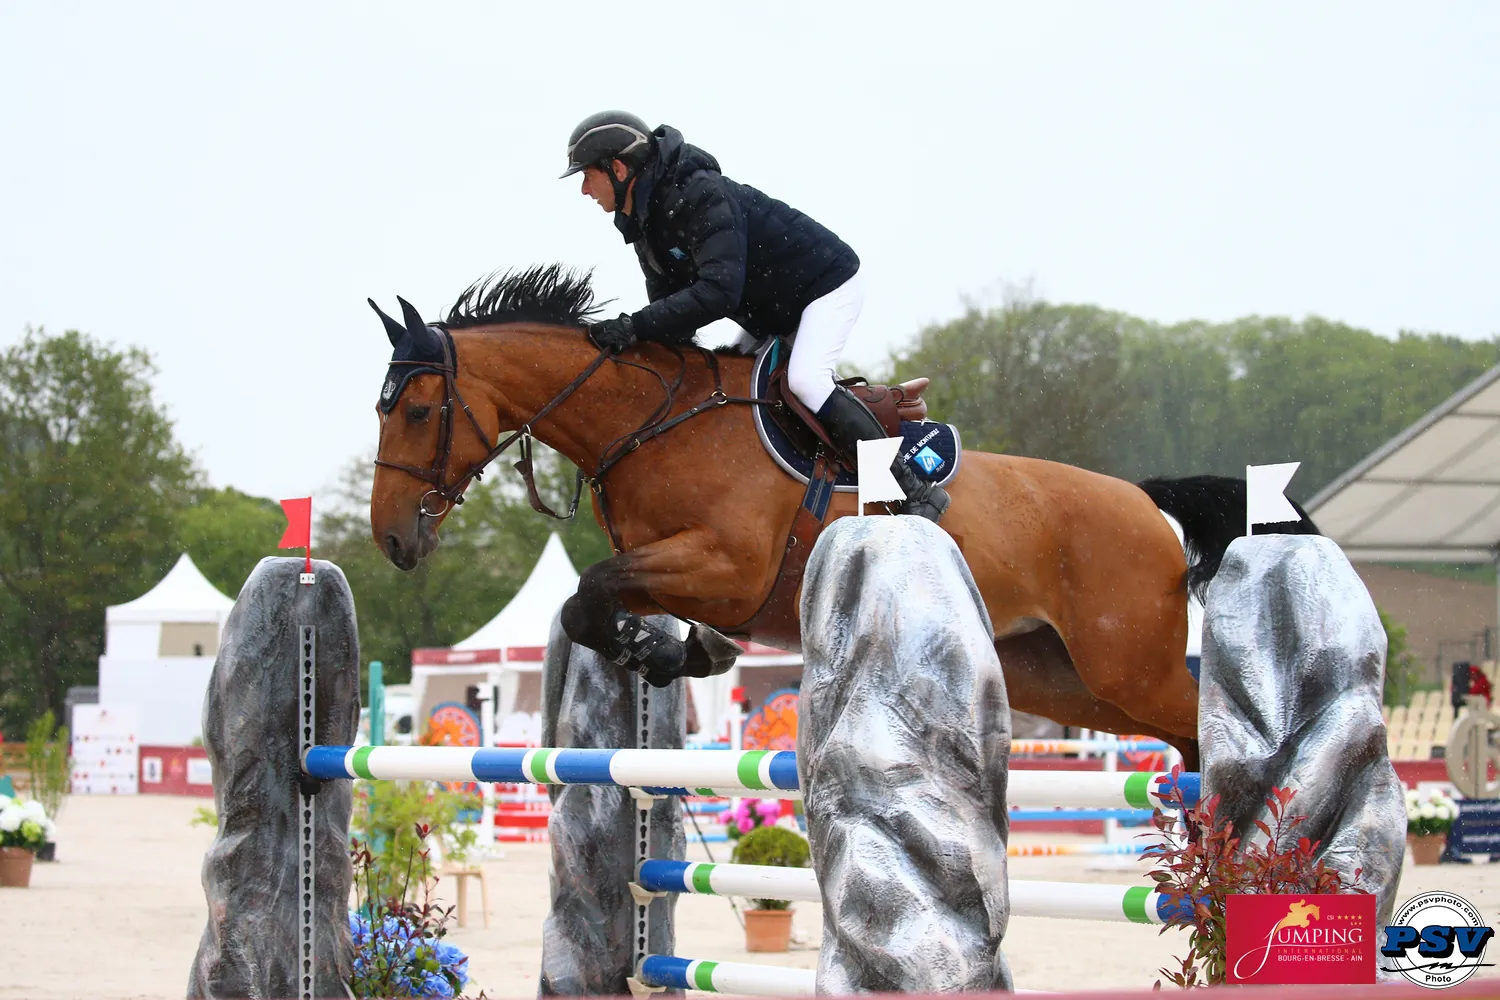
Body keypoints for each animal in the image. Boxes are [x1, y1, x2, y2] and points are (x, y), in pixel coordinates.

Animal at [368, 265, 1319, 770]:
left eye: (414, 411)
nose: (393, 540)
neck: (652, 422)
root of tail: (1143, 499)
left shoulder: (726, 570)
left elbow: (588, 595)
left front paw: (664, 652)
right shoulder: (679, 569)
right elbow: (597, 606)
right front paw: (675, 653)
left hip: (1126, 664)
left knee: (1206, 723)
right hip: (1065, 678)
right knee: (1180, 734)